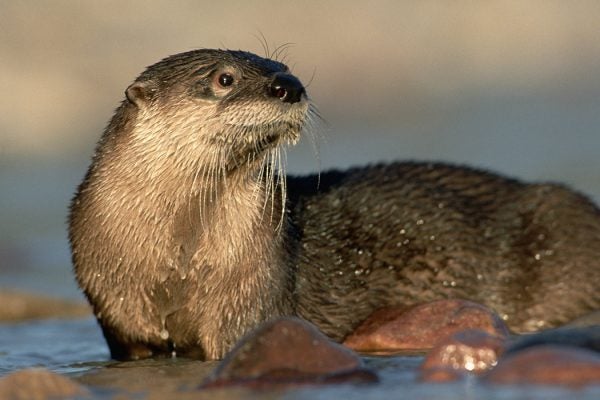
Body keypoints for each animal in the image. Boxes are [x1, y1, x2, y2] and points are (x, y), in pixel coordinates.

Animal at [68, 48, 596, 360]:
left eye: (281, 66)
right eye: (224, 78)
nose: (289, 85)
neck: (177, 262)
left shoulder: (250, 294)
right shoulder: (116, 314)